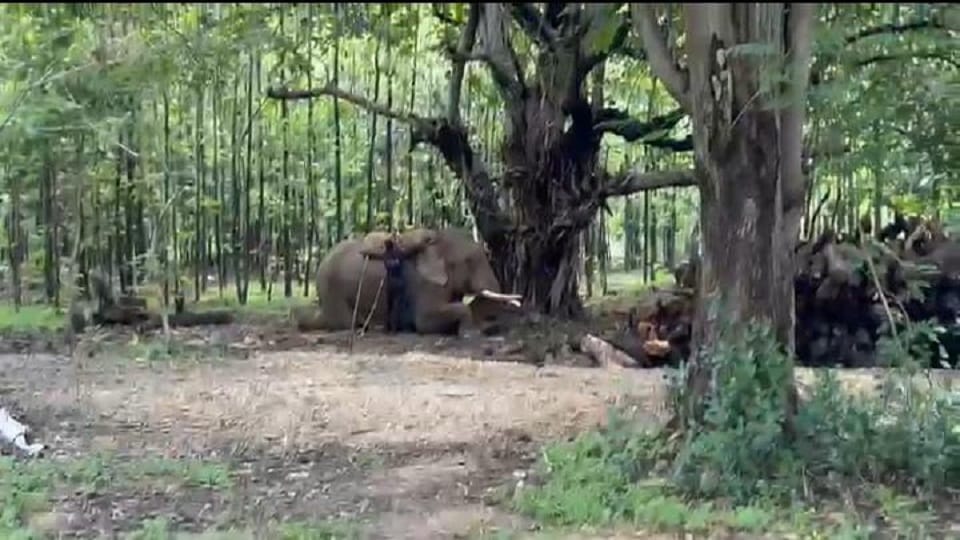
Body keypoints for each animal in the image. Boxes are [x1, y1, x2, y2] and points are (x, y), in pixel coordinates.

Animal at [314, 227, 522, 334]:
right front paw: (470, 331)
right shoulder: (426, 284)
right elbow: (424, 322)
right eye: (468, 261)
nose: (520, 299)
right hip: (331, 290)